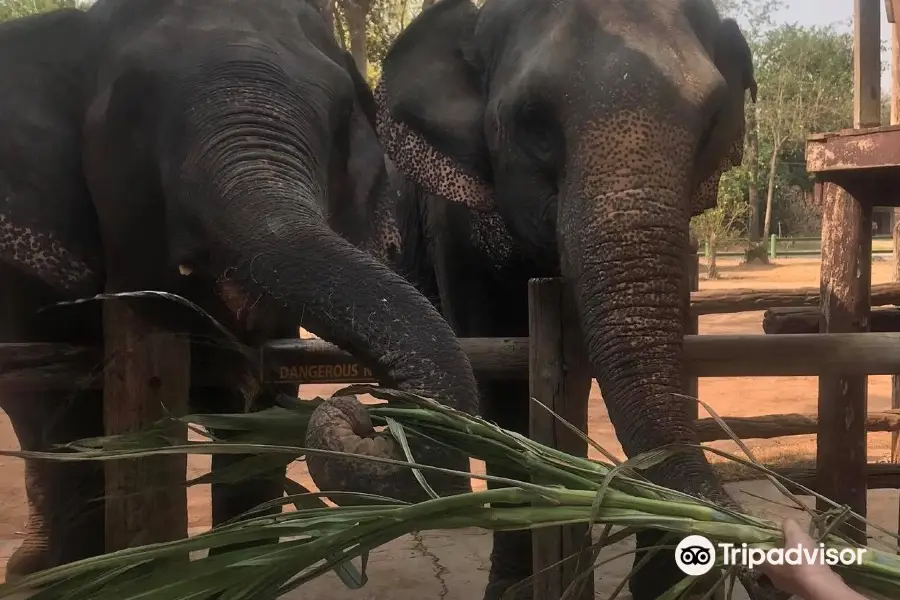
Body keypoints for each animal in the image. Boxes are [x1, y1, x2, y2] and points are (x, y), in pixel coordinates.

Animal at [0, 0, 478, 580]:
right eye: (130, 114)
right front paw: (90, 574)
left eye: (343, 113)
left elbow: (257, 416)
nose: (366, 413)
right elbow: (68, 424)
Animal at [302, 0, 772, 596]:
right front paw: (514, 584)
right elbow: (498, 379)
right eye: (533, 121)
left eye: (712, 119)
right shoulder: (452, 227)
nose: (764, 562)